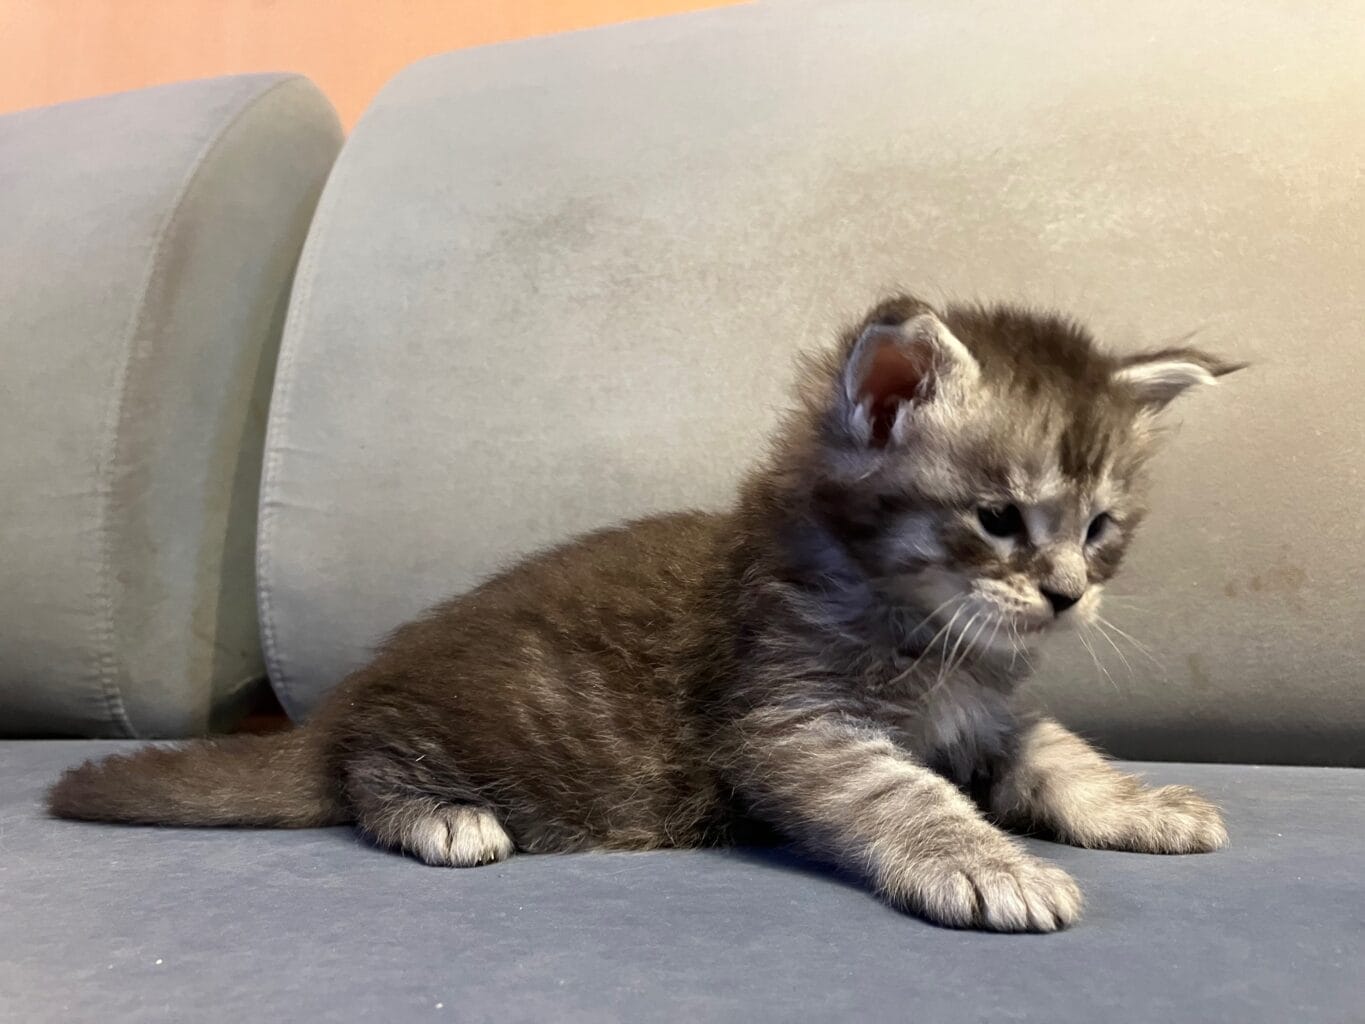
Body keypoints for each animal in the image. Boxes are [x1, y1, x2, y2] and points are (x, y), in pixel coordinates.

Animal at [48, 294, 1242, 932]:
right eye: (997, 518)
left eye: (1100, 527)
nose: (1067, 593)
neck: (928, 635)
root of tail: (350, 695)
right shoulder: (790, 715)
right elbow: (901, 792)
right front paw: (988, 863)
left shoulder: (991, 715)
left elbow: (1062, 754)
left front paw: (1142, 805)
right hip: (460, 725)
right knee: (365, 773)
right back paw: (441, 814)